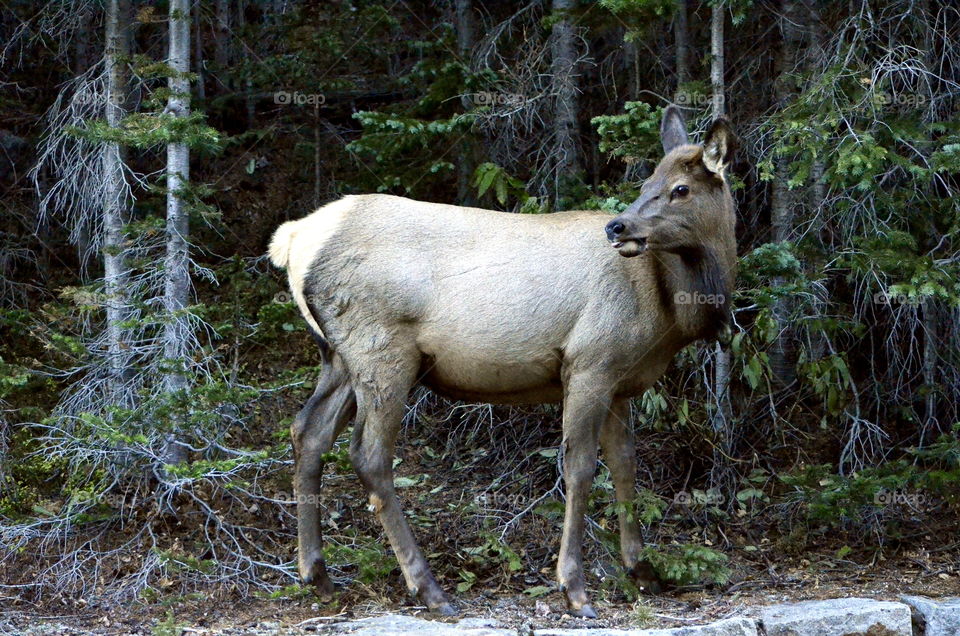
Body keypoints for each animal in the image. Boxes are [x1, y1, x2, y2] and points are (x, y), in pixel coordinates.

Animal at [268, 105, 737, 618]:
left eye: (679, 188)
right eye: (649, 181)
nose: (619, 227)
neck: (670, 304)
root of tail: (292, 241)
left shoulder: (620, 378)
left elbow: (625, 465)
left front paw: (643, 570)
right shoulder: (589, 360)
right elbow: (580, 467)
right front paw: (574, 587)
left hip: (337, 356)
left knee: (308, 431)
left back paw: (317, 575)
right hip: (381, 349)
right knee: (369, 454)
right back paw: (428, 588)